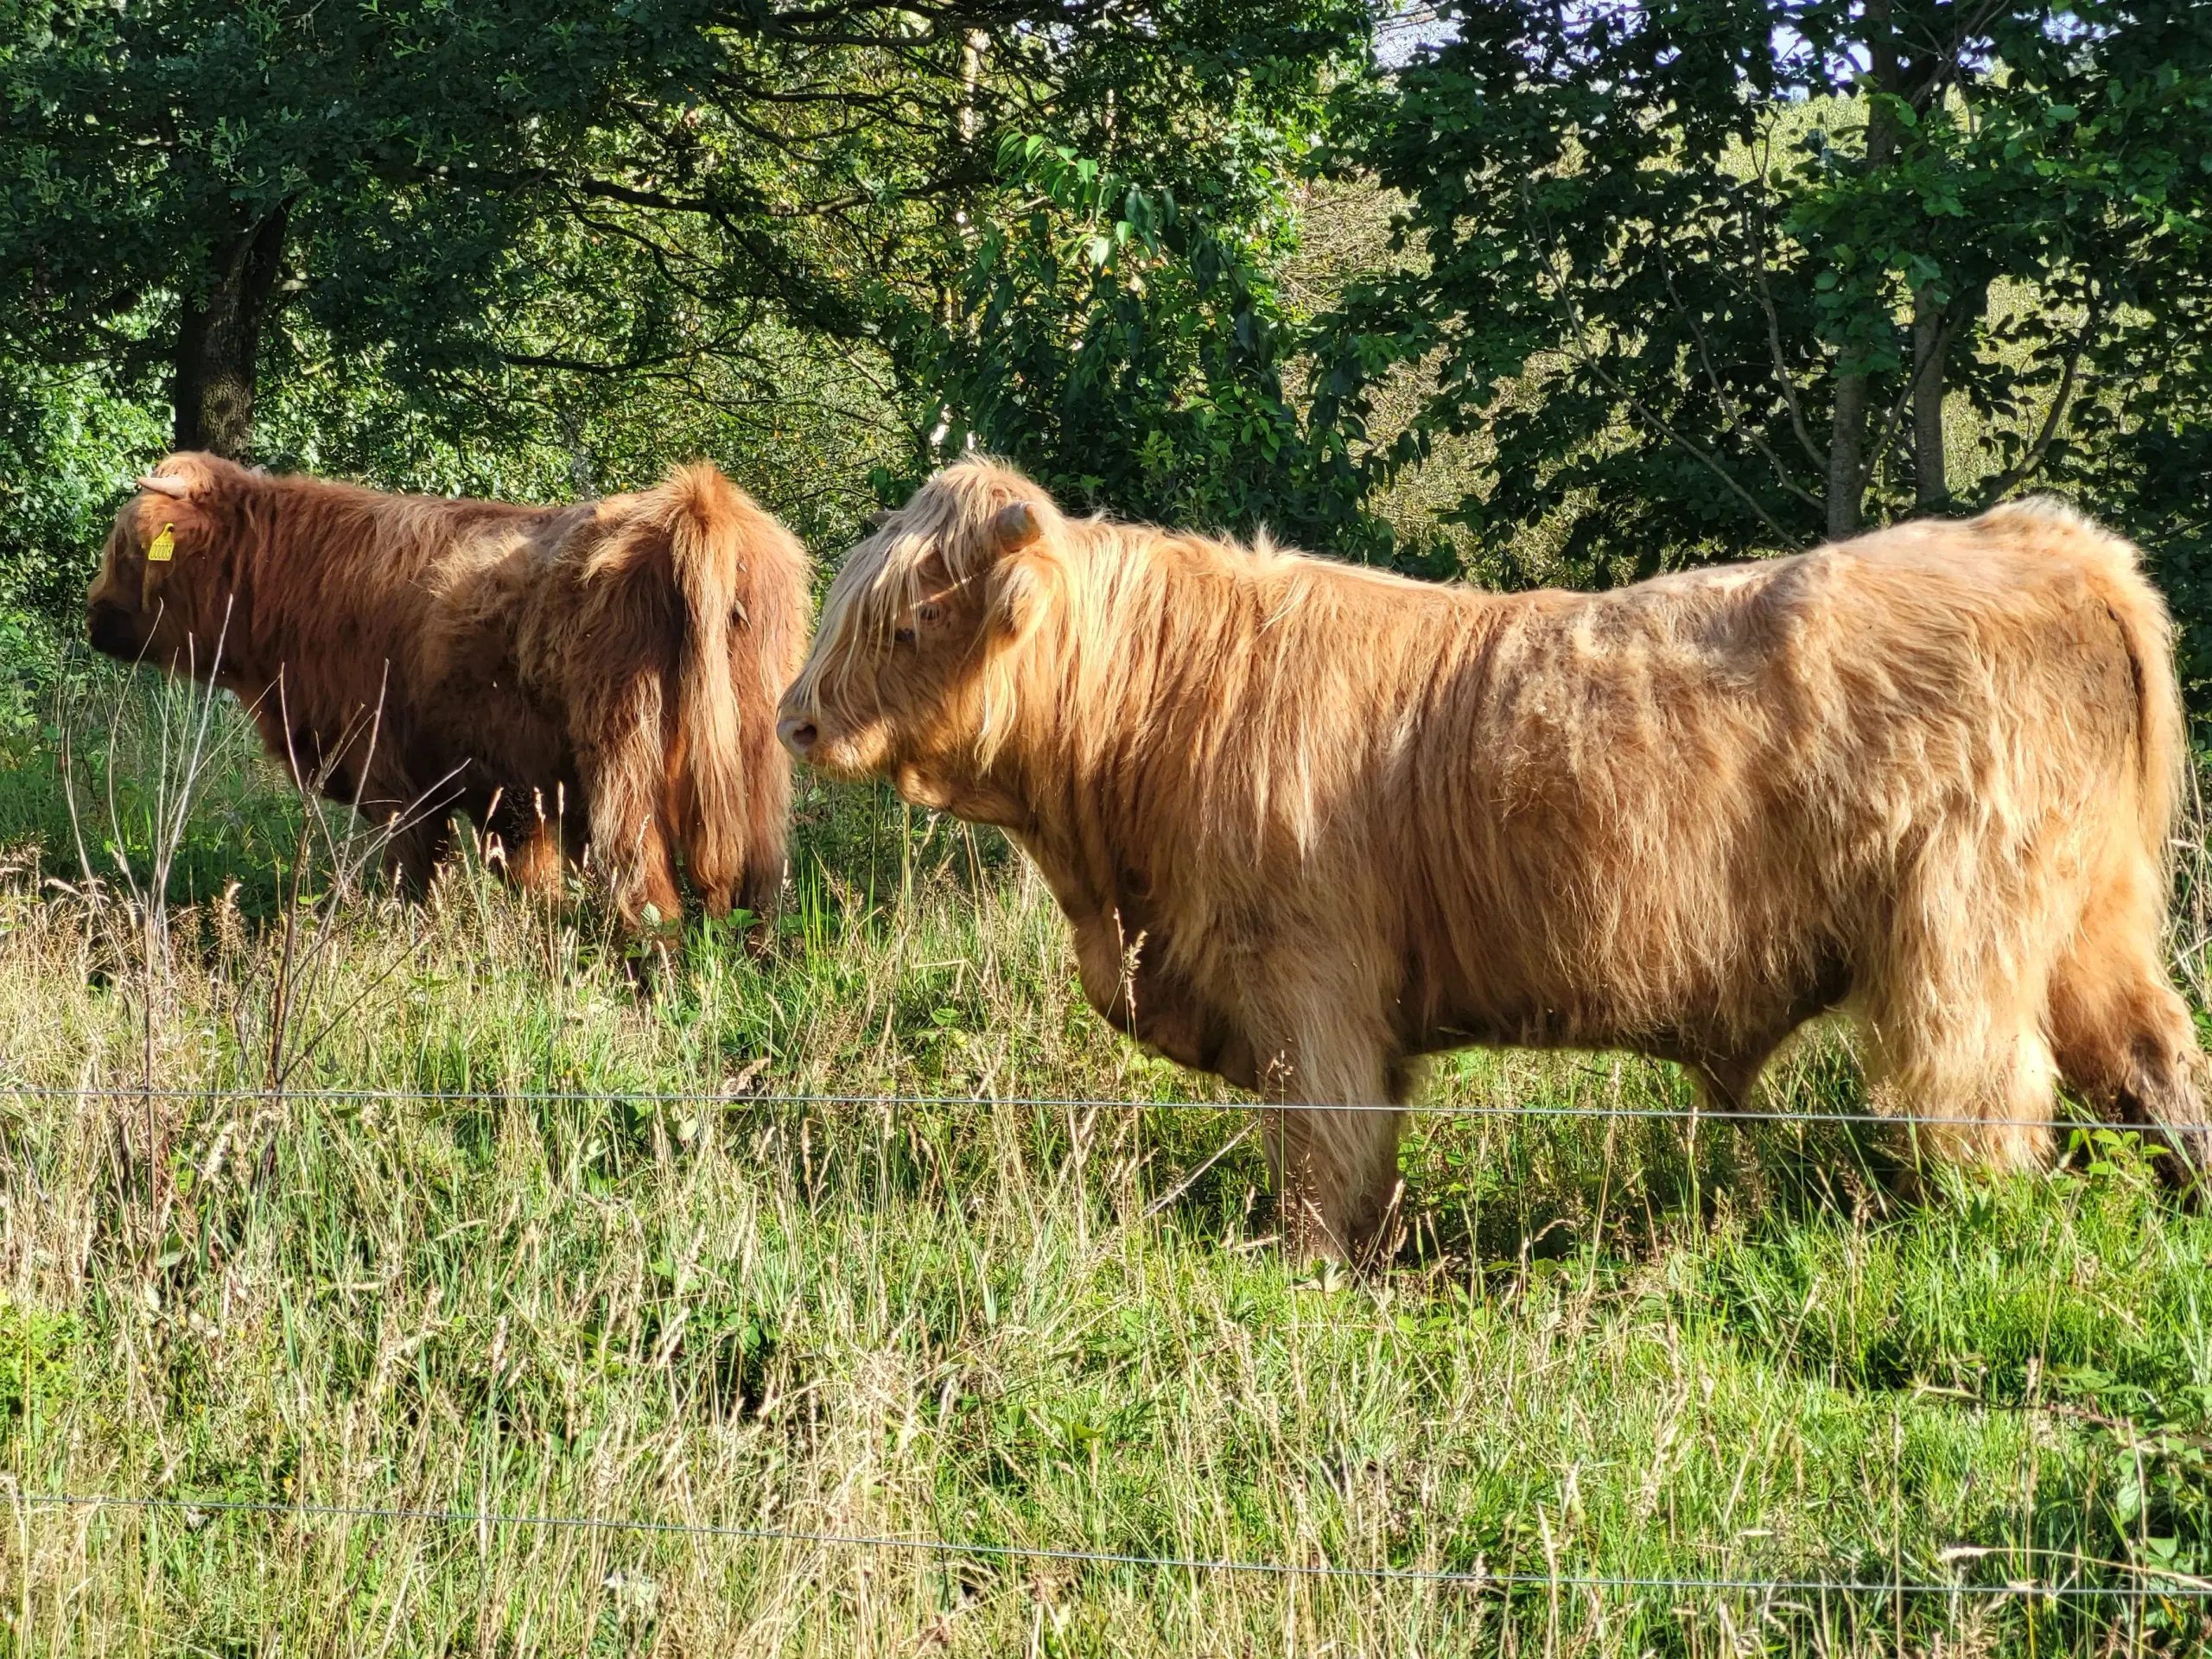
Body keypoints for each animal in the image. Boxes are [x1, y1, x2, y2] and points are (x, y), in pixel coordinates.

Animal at [92, 451, 814, 938]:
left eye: (126, 549)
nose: (93, 615)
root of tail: (696, 504)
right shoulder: (515, 797)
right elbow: (534, 886)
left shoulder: (396, 784)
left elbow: (415, 881)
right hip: (757, 764)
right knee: (757, 887)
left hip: (624, 760)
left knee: (649, 897)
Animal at [779, 462, 2212, 1265]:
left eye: (902, 621)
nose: (793, 719)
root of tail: (2047, 539)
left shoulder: (1305, 978)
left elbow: (1323, 1150)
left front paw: (1309, 1268)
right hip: (2089, 921)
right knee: (2157, 1064)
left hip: (1964, 924)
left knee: (1985, 1097)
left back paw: (1971, 1233)